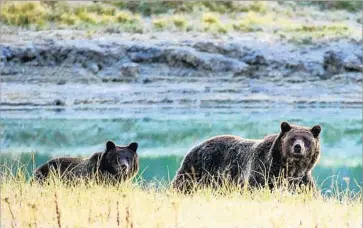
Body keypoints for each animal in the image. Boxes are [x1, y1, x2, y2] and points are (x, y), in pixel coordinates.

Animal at [173, 121, 322, 192]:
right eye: (292, 138)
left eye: (306, 139)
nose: (298, 147)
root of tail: (196, 146)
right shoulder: (263, 170)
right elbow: (255, 187)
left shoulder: (301, 179)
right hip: (198, 169)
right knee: (183, 185)